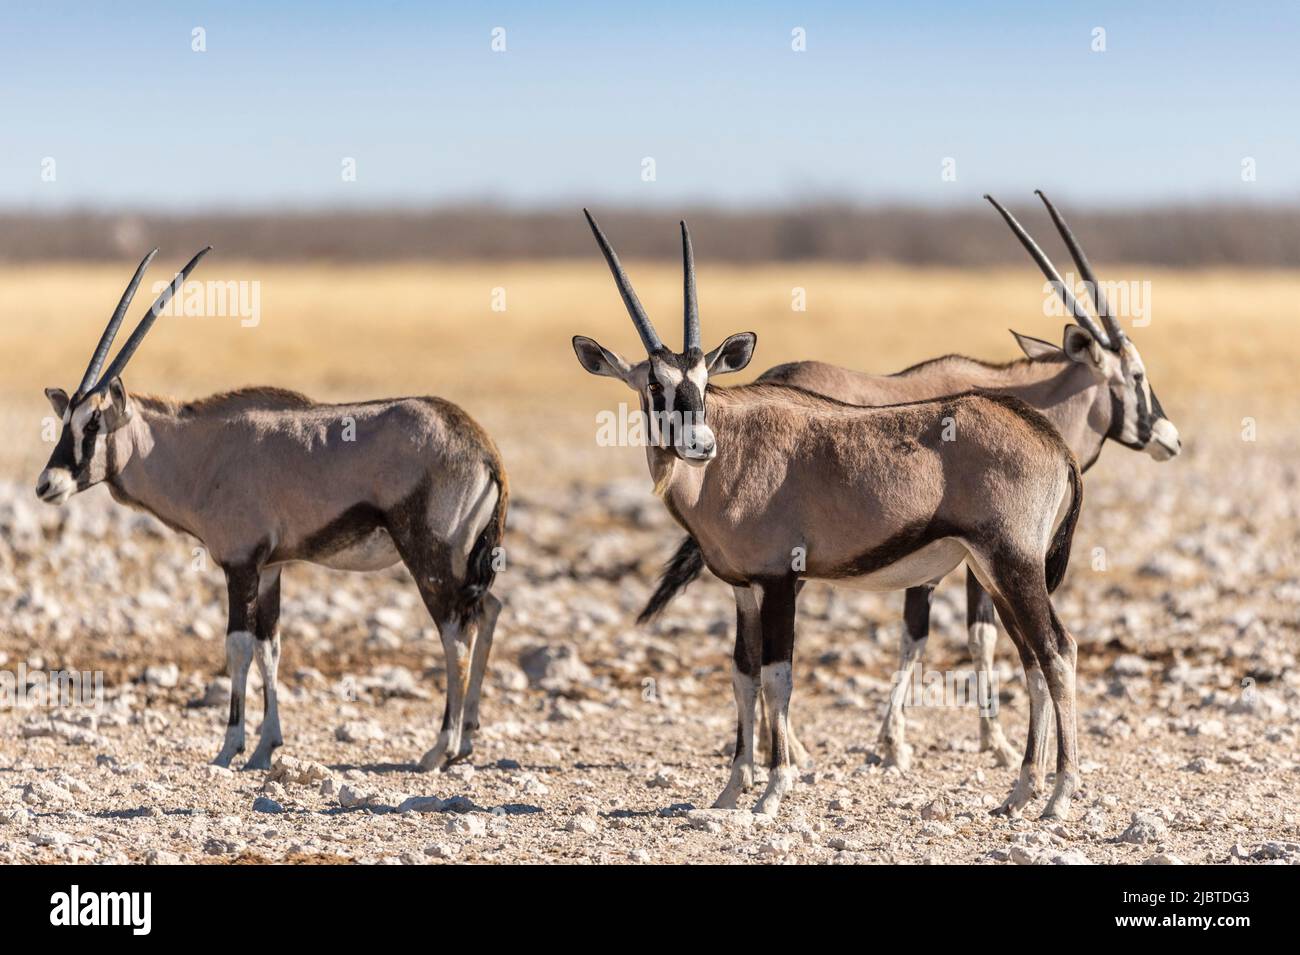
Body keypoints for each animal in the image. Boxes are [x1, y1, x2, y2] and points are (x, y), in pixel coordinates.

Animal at [36, 250, 506, 774]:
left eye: (93, 423)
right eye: (66, 422)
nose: (47, 484)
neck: (201, 451)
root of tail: (481, 446)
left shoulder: (241, 564)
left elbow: (238, 647)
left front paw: (229, 747)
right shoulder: (271, 568)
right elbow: (271, 648)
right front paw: (266, 746)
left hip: (430, 559)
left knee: (455, 632)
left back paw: (439, 748)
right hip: (462, 563)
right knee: (487, 610)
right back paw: (466, 740)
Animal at [577, 213, 1086, 815]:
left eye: (703, 383)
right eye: (656, 384)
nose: (700, 445)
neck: (733, 454)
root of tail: (1049, 439)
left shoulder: (779, 580)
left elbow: (778, 676)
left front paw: (773, 789)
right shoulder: (742, 588)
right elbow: (742, 674)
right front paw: (730, 789)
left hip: (1013, 564)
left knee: (1057, 651)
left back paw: (1059, 795)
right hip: (995, 573)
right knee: (1033, 658)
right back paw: (1021, 791)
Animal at [644, 188, 1185, 779]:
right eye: (1136, 376)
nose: (1170, 439)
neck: (1031, 400)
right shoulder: (964, 558)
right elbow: (953, 636)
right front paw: (934, 742)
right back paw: (788, 748)